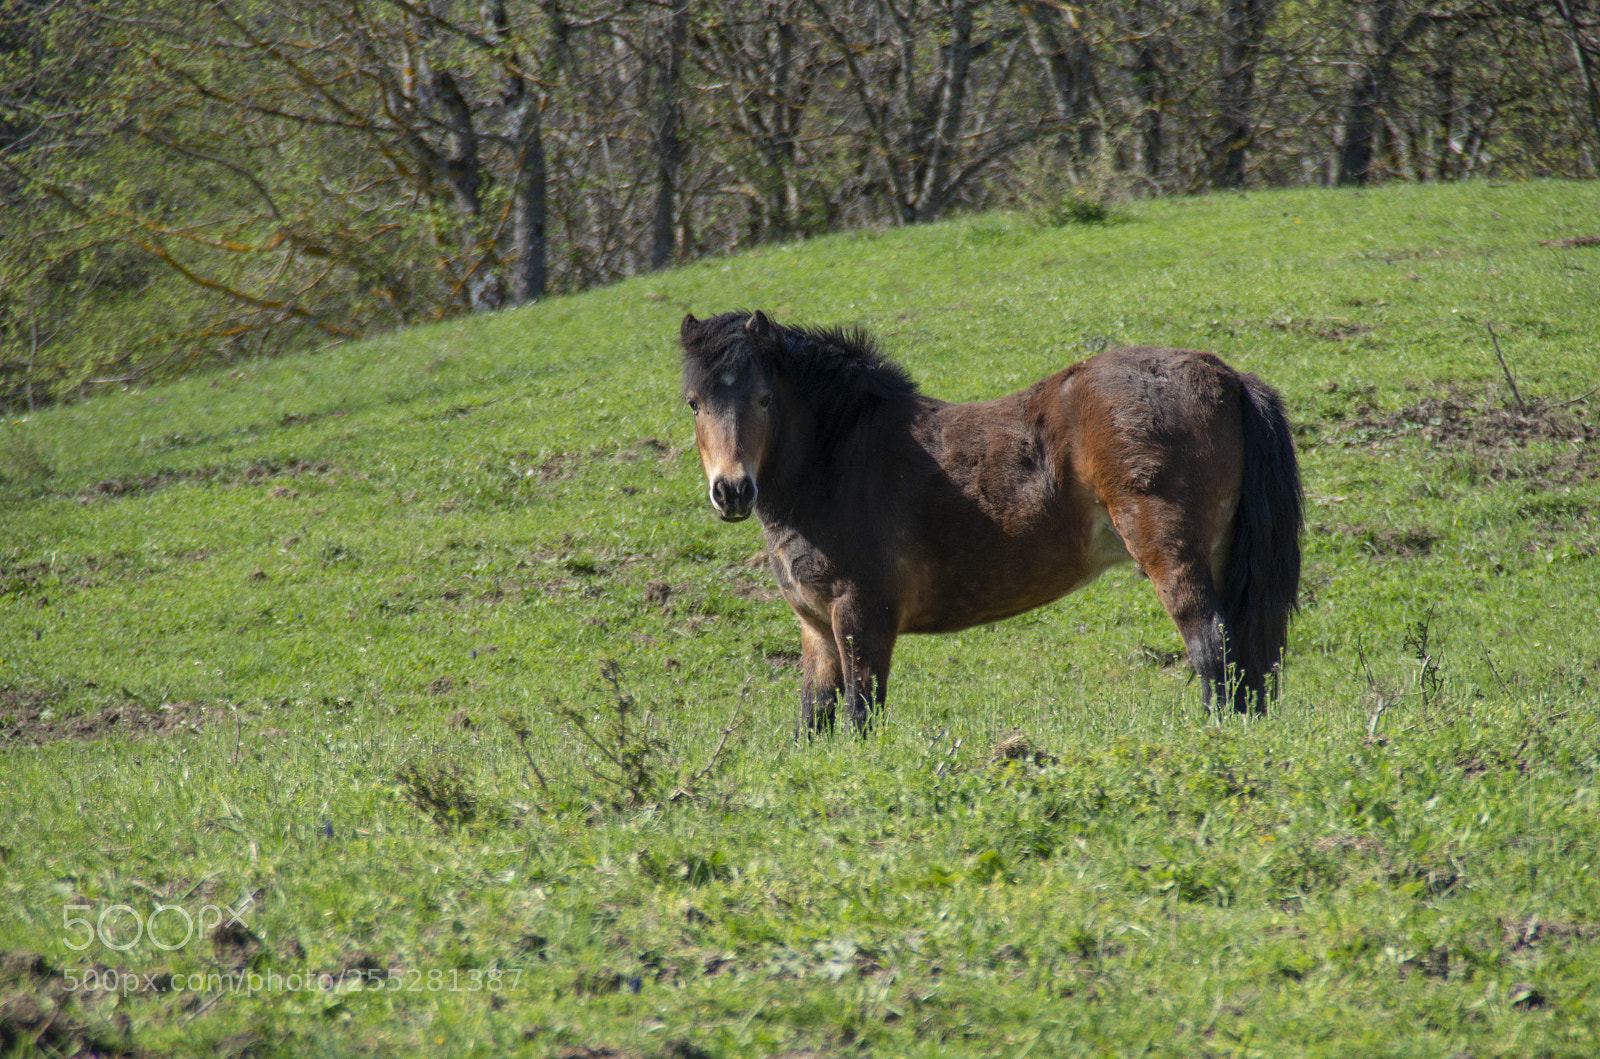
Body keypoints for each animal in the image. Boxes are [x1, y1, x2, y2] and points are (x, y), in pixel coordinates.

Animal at [678, 310, 1303, 732]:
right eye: (693, 402)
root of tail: (1228, 376)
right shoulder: (817, 632)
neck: (839, 461)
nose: (732, 491)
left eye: (764, 397)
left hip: (1170, 555)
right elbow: (815, 720)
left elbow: (861, 716)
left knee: (1213, 646)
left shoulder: (862, 617)